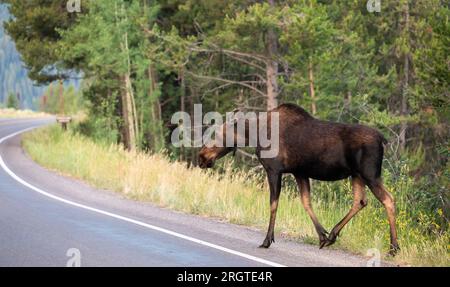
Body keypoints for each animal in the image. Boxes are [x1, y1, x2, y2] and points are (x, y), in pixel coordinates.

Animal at [199, 104, 400, 256]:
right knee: (360, 201)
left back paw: (394, 248)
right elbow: (306, 202)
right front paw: (322, 235)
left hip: (370, 174)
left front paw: (267, 240)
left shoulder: (274, 170)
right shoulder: (300, 172)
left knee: (388, 199)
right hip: (356, 175)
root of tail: (382, 139)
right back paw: (333, 236)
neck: (254, 135)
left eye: (218, 134)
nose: (201, 157)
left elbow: (274, 204)